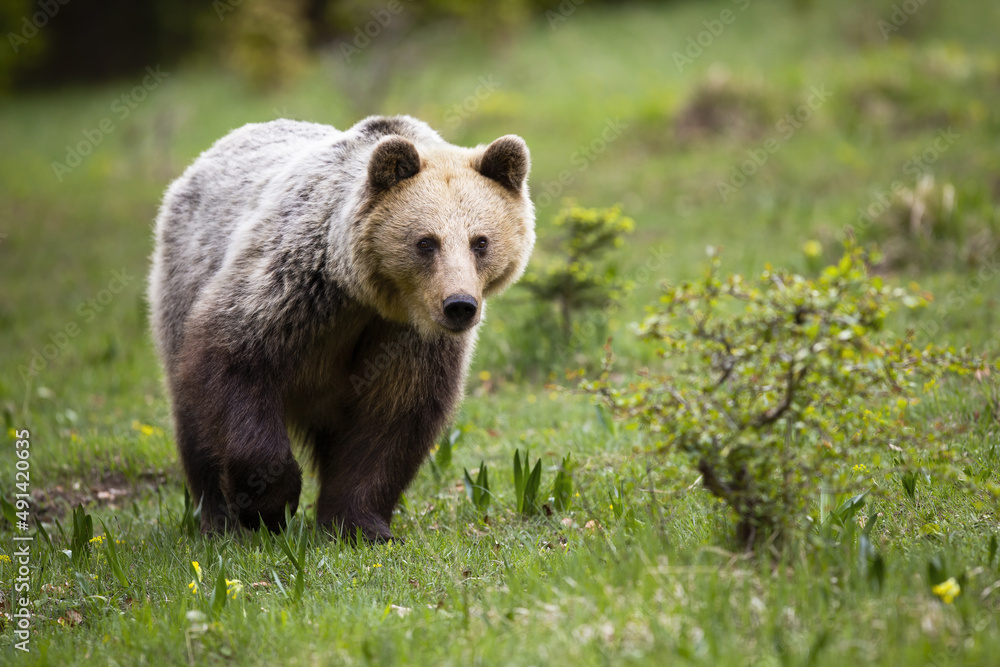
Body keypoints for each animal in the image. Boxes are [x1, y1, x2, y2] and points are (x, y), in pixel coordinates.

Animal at [146, 116, 536, 544]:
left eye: (480, 241)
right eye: (426, 242)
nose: (459, 305)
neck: (366, 296)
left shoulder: (403, 339)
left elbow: (391, 420)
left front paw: (361, 525)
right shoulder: (292, 290)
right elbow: (234, 361)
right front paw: (268, 505)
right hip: (182, 280)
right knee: (194, 424)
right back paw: (217, 521)